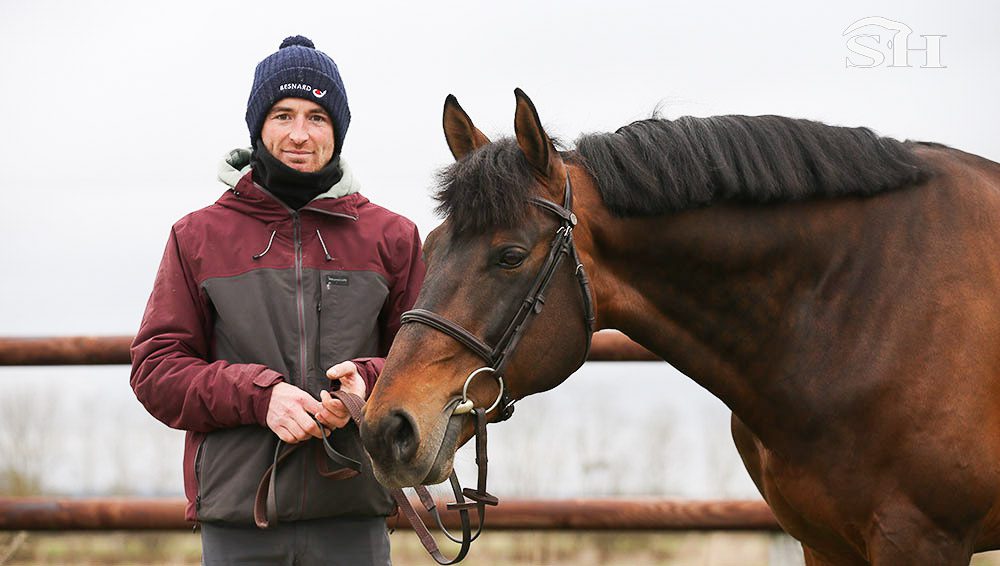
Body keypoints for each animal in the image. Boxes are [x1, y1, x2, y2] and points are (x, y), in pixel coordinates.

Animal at [364, 91, 1000, 564]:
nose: (385, 429)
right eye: (431, 247)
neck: (859, 301)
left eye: (511, 256)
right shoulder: (824, 543)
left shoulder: (919, 539)